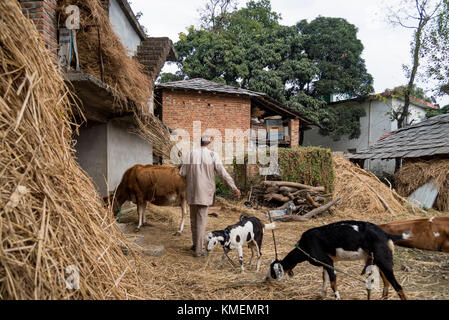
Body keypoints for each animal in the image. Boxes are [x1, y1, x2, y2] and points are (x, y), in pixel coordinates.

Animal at [266, 220, 410, 300]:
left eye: (273, 271)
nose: (267, 279)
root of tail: (386, 235)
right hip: (379, 262)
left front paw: (337, 297)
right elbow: (324, 280)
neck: (304, 246)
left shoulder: (328, 262)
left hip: (384, 262)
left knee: (398, 287)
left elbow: (332, 283)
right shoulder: (326, 262)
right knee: (387, 283)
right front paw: (321, 296)